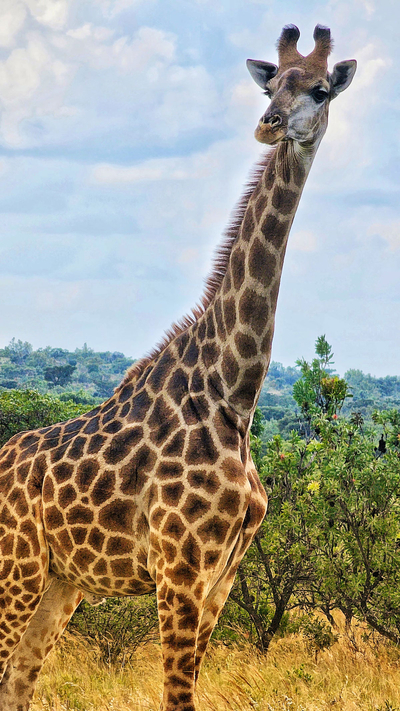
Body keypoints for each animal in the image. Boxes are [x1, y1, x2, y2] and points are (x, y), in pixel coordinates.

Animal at [0, 25, 356, 711]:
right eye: (272, 86)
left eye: (320, 90)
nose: (269, 125)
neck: (233, 394)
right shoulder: (179, 569)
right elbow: (177, 697)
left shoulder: (220, 577)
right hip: (16, 569)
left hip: (58, 582)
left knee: (18, 681)